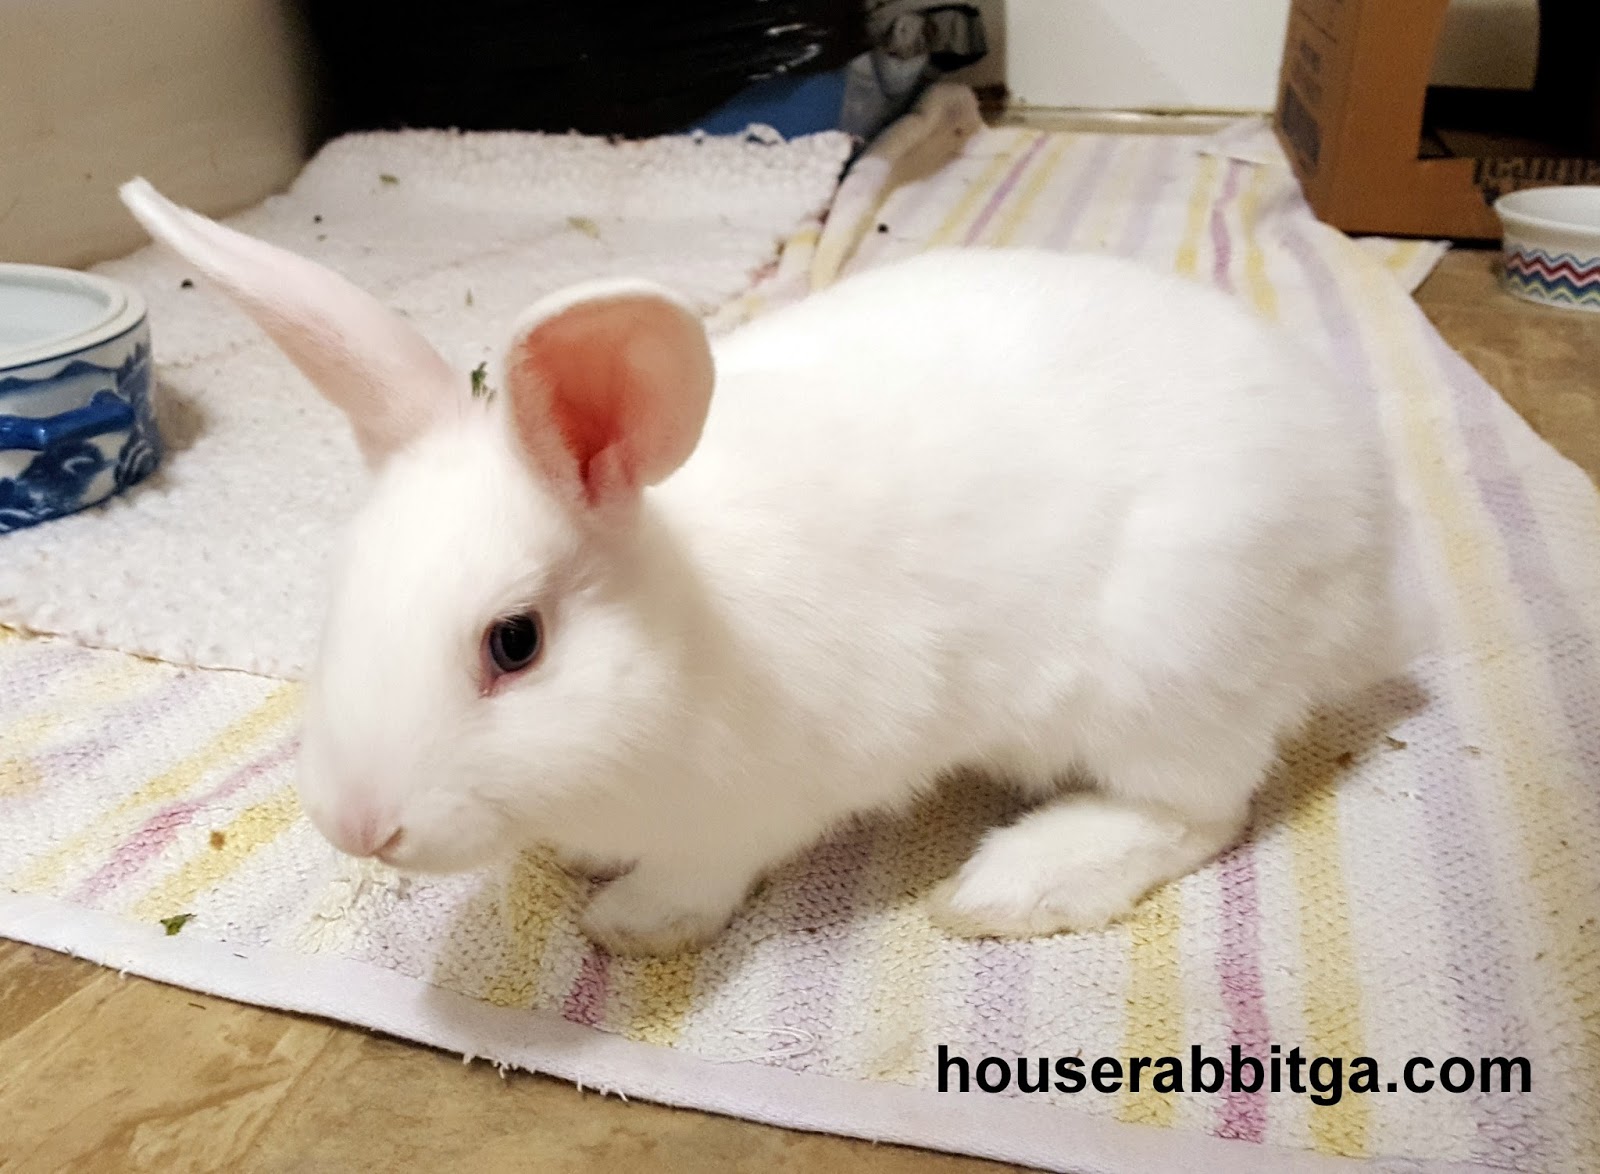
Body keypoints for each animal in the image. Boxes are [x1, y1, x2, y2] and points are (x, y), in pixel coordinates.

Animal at [119, 177, 1418, 957]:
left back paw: (1010, 886)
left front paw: (630, 923)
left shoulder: (762, 800)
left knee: (1196, 811)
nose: (356, 827)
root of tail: (1366, 539)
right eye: (336, 596)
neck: (683, 629)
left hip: (1167, 670)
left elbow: (700, 874)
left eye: (514, 643)